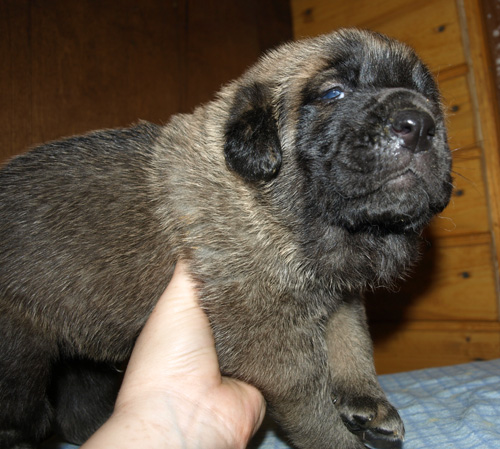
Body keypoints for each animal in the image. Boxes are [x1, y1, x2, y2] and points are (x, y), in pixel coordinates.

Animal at [0, 28, 452, 448]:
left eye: (430, 100)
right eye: (333, 93)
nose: (419, 125)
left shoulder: (336, 292)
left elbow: (351, 339)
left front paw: (368, 402)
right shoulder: (271, 341)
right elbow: (313, 404)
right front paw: (341, 437)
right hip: (20, 358)